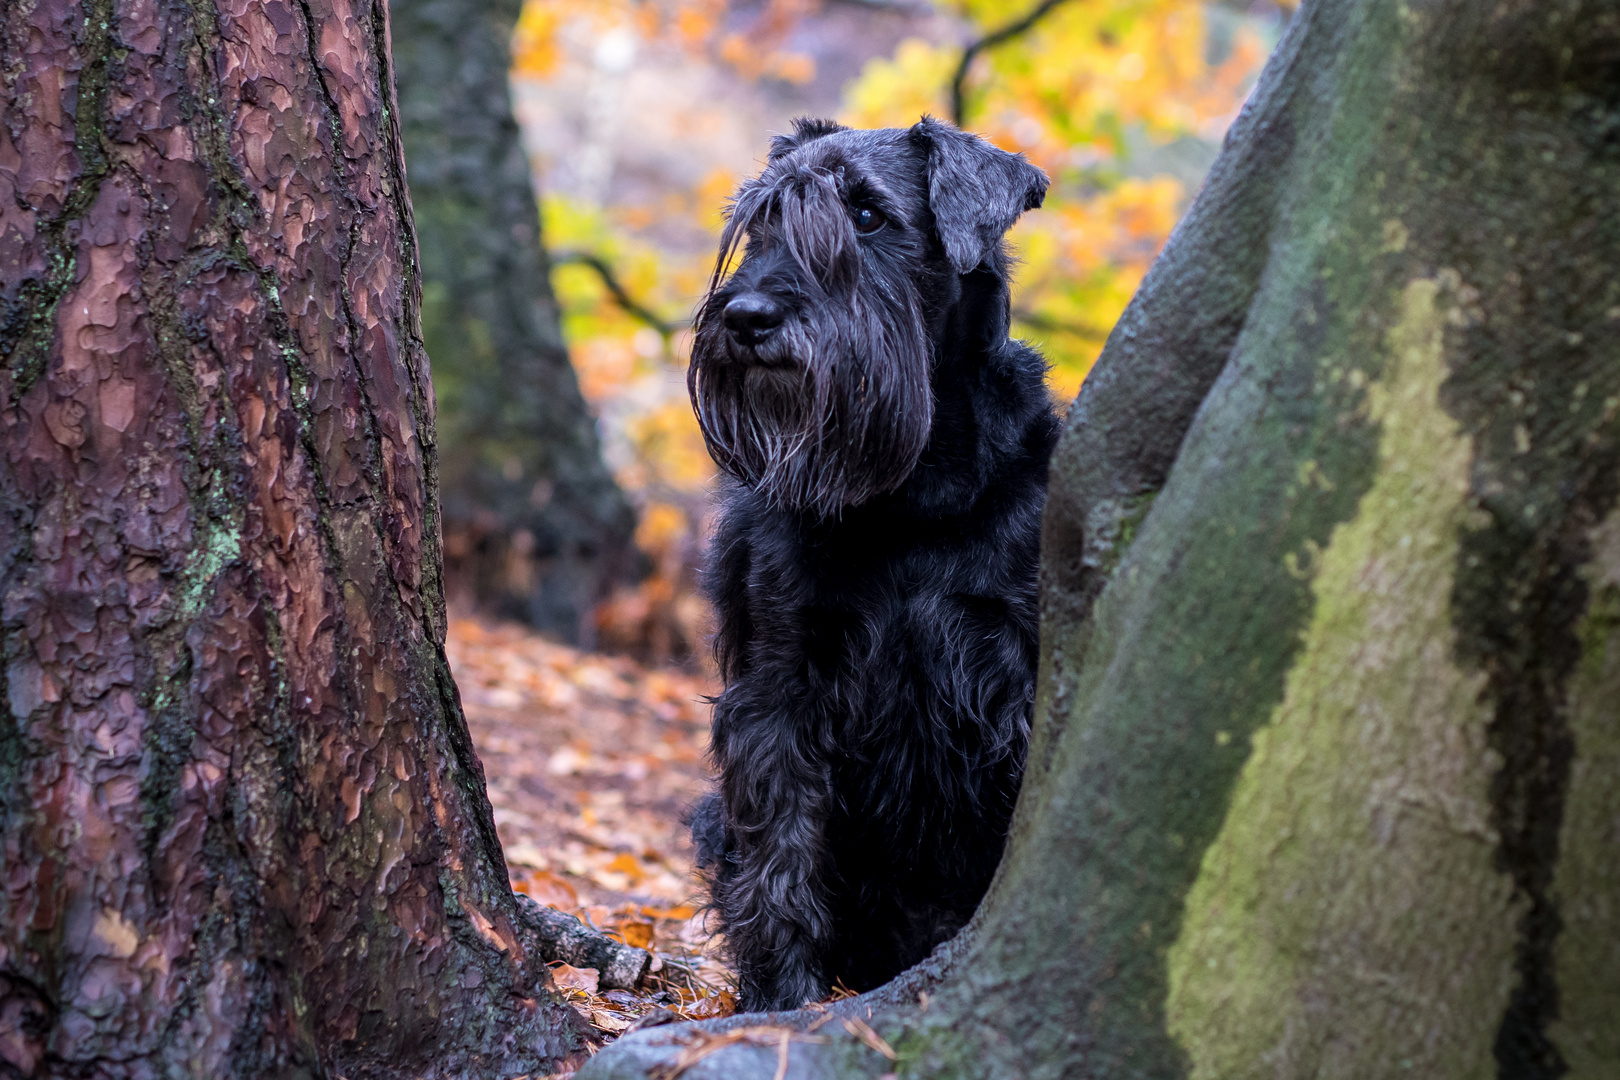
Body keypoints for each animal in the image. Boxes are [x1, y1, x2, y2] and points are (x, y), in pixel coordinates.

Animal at [686, 118, 1056, 1016]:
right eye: (762, 222)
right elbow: (781, 861)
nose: (746, 316)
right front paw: (779, 1005)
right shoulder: (782, 686)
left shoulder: (1014, 672)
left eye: (867, 214)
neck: (912, 492)